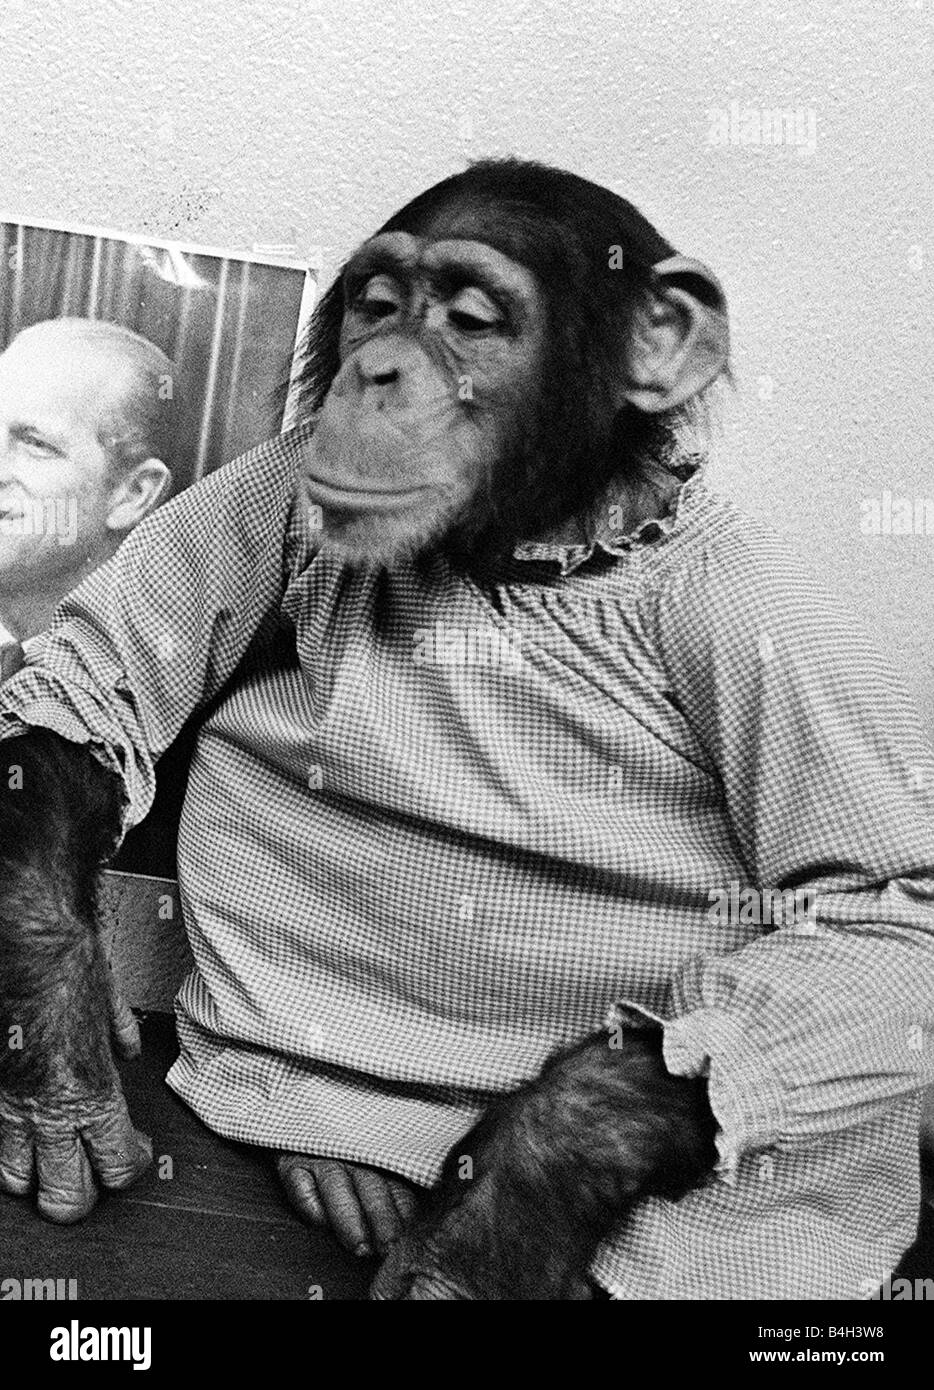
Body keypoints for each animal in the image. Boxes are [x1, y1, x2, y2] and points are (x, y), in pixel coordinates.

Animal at [1, 158, 933, 1300]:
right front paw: (58, 1043)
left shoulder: (763, 615)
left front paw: (514, 1203)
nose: (377, 372)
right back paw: (336, 1167)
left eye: (470, 317)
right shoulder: (284, 474)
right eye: (376, 304)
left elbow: (870, 905)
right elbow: (95, 696)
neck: (528, 551)